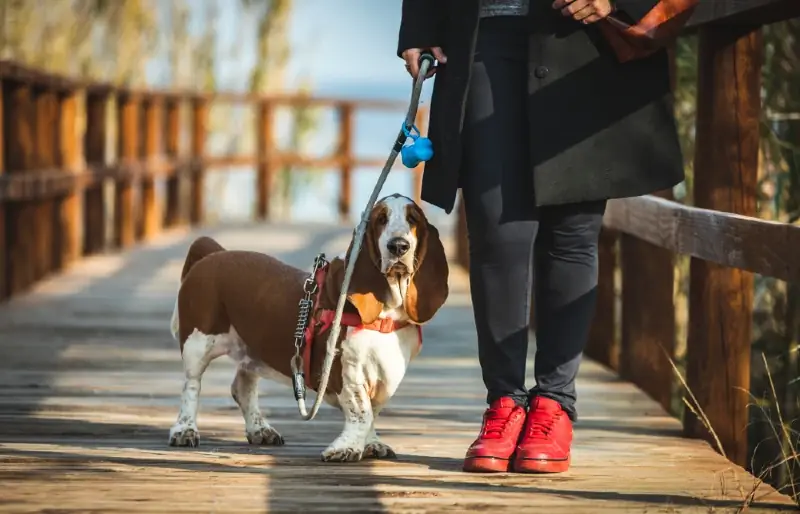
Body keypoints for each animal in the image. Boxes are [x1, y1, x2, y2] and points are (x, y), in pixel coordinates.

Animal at [167, 192, 450, 460]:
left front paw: (372, 444)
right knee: (191, 385)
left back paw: (260, 430)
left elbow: (373, 413)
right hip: (198, 344)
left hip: (252, 349)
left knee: (242, 387)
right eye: (381, 219)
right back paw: (185, 430)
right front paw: (345, 449)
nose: (398, 246)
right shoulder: (346, 371)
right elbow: (362, 412)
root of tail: (213, 253)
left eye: (412, 220)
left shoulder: (387, 376)